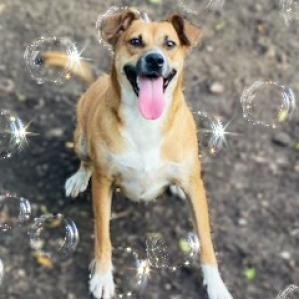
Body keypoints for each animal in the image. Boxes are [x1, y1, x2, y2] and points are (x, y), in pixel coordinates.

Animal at [47, 8, 234, 299]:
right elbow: (103, 236)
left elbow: (205, 241)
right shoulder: (103, 182)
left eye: (170, 44)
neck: (146, 122)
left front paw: (216, 286)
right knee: (85, 160)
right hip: (81, 137)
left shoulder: (196, 188)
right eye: (135, 41)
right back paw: (78, 177)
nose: (155, 60)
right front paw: (102, 277)